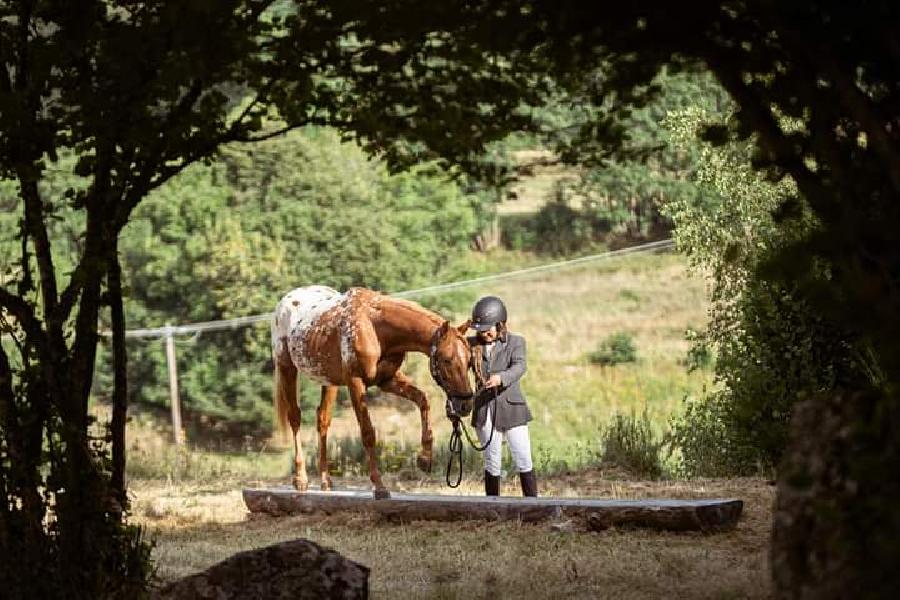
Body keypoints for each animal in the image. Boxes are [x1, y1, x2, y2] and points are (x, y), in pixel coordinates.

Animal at [270, 284, 474, 496]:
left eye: (469, 360)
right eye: (447, 360)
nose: (465, 405)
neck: (375, 327)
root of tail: (287, 300)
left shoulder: (387, 380)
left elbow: (423, 400)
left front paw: (424, 459)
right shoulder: (355, 382)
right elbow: (368, 432)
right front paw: (379, 485)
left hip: (328, 380)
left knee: (323, 421)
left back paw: (326, 480)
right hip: (286, 368)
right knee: (295, 418)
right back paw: (301, 479)